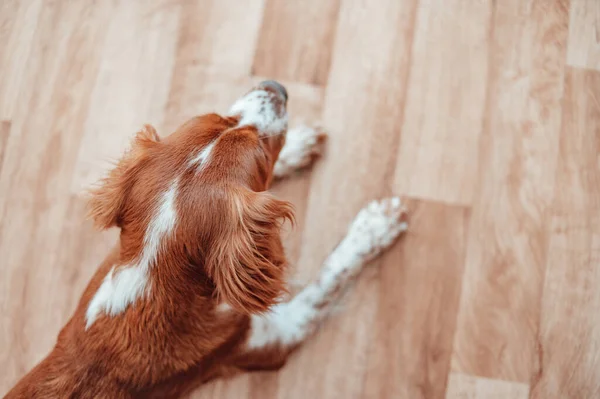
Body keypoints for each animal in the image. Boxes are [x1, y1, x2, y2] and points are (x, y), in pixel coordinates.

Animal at [5, 79, 408, 398]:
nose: (277, 86)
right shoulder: (275, 335)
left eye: (221, 119)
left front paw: (297, 144)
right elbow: (329, 277)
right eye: (259, 149)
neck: (153, 279)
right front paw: (373, 228)